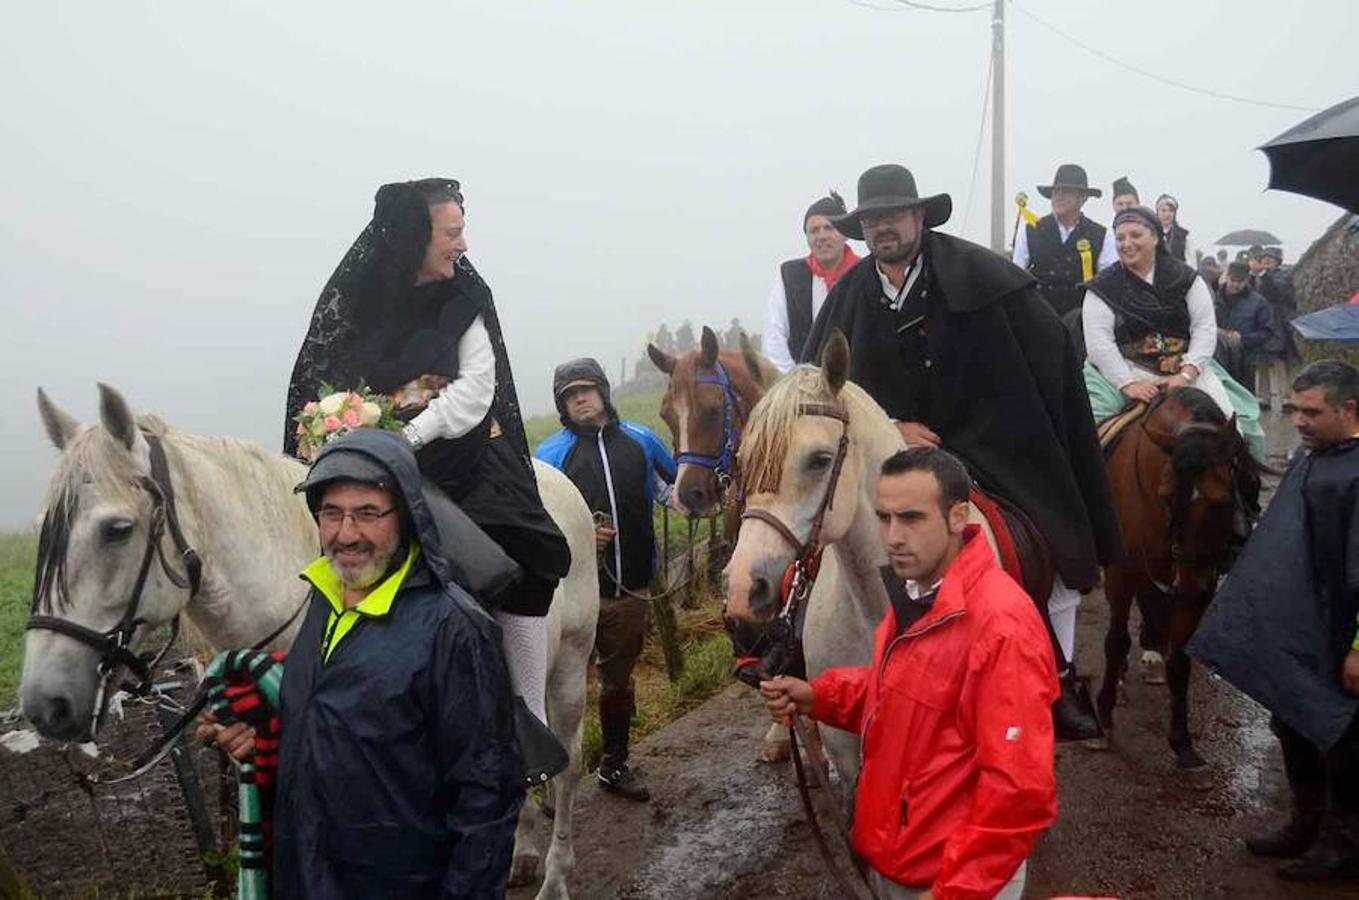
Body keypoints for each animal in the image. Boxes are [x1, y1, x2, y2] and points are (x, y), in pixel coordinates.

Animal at [18, 386, 597, 900]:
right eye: (44, 531)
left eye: (116, 530)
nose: (45, 705)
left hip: (570, 670)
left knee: (566, 766)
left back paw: (555, 877)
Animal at [1092, 388, 1261, 777]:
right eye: (1166, 496)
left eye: (1222, 501)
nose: (1190, 587)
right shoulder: (1122, 573)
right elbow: (1115, 642)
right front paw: (1103, 718)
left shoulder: (1196, 583)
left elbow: (1180, 661)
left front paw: (1184, 745)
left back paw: (1153, 650)